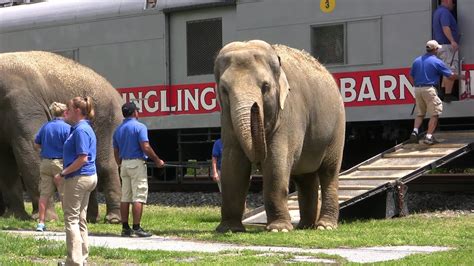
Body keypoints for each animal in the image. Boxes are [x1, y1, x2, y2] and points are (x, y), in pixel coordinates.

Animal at [0, 51, 122, 223]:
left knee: (105, 164)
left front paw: (45, 218)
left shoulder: (23, 105)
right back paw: (89, 218)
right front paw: (13, 217)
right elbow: (6, 161)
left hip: (109, 121)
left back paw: (113, 219)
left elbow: (31, 149)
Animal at [214, 40, 344, 233]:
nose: (254, 106)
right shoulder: (226, 118)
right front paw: (229, 229)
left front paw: (278, 229)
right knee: (305, 178)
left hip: (337, 128)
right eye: (224, 89)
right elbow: (233, 163)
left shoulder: (289, 112)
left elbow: (276, 163)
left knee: (329, 172)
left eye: (265, 87)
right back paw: (305, 226)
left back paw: (325, 226)